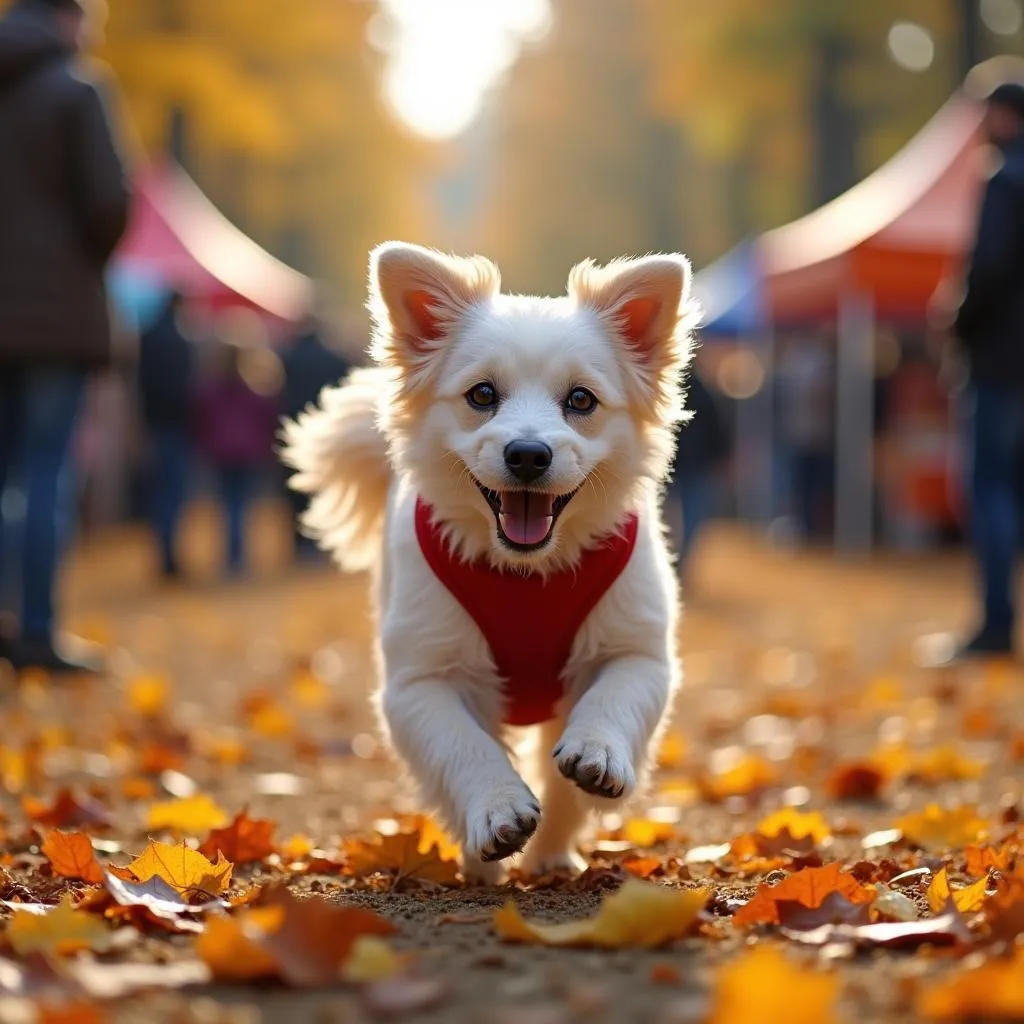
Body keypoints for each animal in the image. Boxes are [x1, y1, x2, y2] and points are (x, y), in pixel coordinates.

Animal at [280, 241, 696, 880]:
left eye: (581, 400)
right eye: (481, 395)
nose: (527, 453)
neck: (527, 575)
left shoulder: (639, 651)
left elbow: (609, 705)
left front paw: (595, 754)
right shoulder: (419, 679)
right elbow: (464, 747)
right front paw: (499, 814)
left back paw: (553, 859)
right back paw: (482, 866)